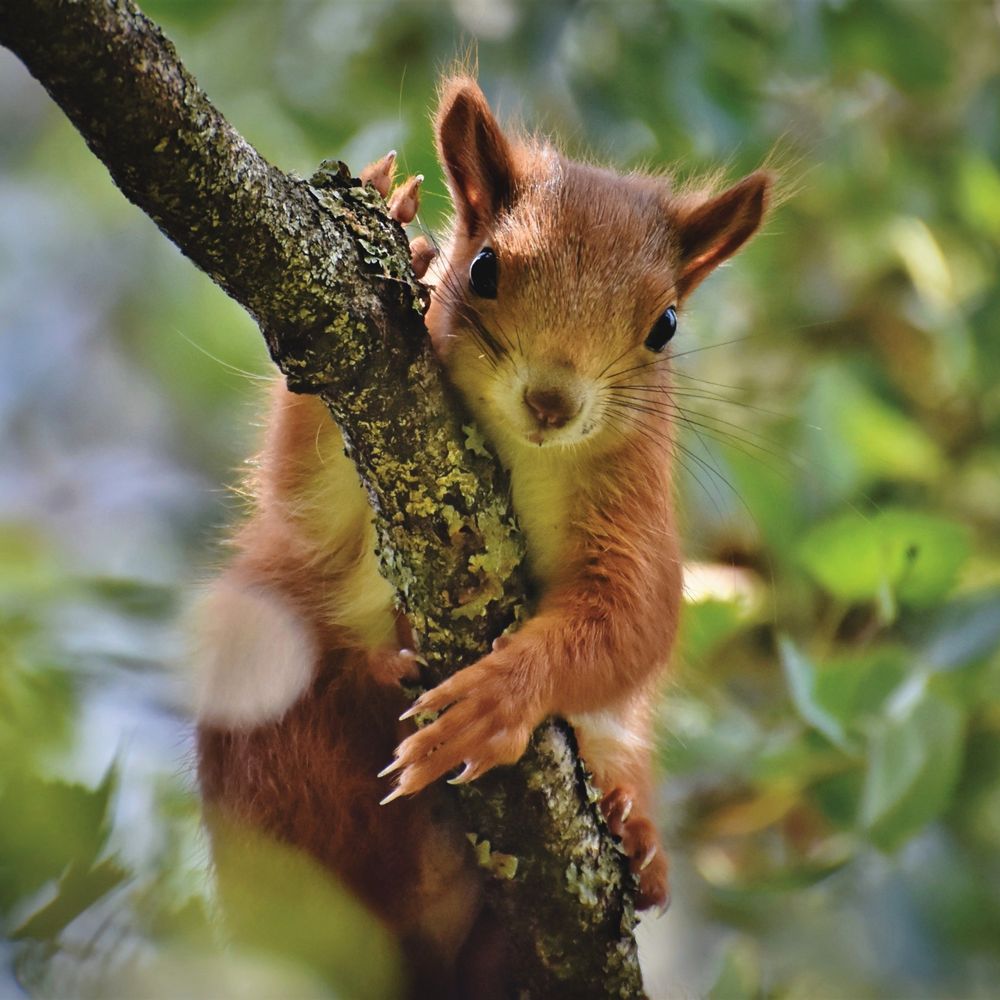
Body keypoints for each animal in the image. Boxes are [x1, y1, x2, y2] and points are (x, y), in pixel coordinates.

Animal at [195, 76, 772, 992]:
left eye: (667, 325)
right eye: (485, 267)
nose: (552, 402)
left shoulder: (633, 511)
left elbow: (633, 621)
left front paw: (500, 697)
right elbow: (300, 490)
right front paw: (396, 217)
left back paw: (632, 832)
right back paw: (375, 677)